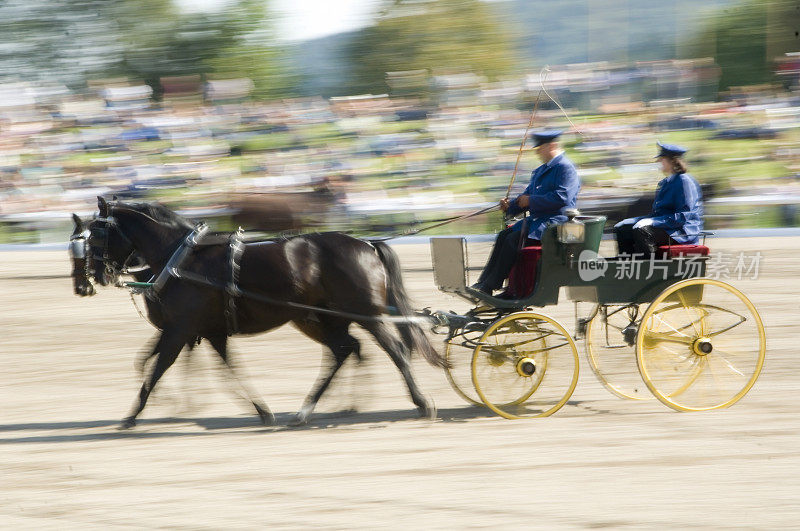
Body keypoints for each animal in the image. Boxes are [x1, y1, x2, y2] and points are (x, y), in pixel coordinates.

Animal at [90, 197, 446, 430]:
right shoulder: (206, 331)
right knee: (344, 350)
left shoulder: (180, 329)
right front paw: (261, 410)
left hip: (363, 312)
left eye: (96, 233)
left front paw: (132, 415)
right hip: (322, 317)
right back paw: (309, 410)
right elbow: (227, 369)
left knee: (394, 350)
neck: (181, 258)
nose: (95, 274)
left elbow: (157, 369)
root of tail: (367, 244)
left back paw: (421, 403)